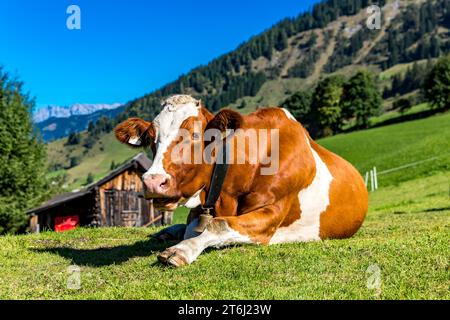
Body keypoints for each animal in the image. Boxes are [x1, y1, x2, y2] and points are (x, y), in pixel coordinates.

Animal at [114, 94, 368, 266]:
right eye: (150, 138)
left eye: (195, 135)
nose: (153, 182)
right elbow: (194, 227)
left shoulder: (271, 214)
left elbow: (216, 225)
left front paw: (181, 250)